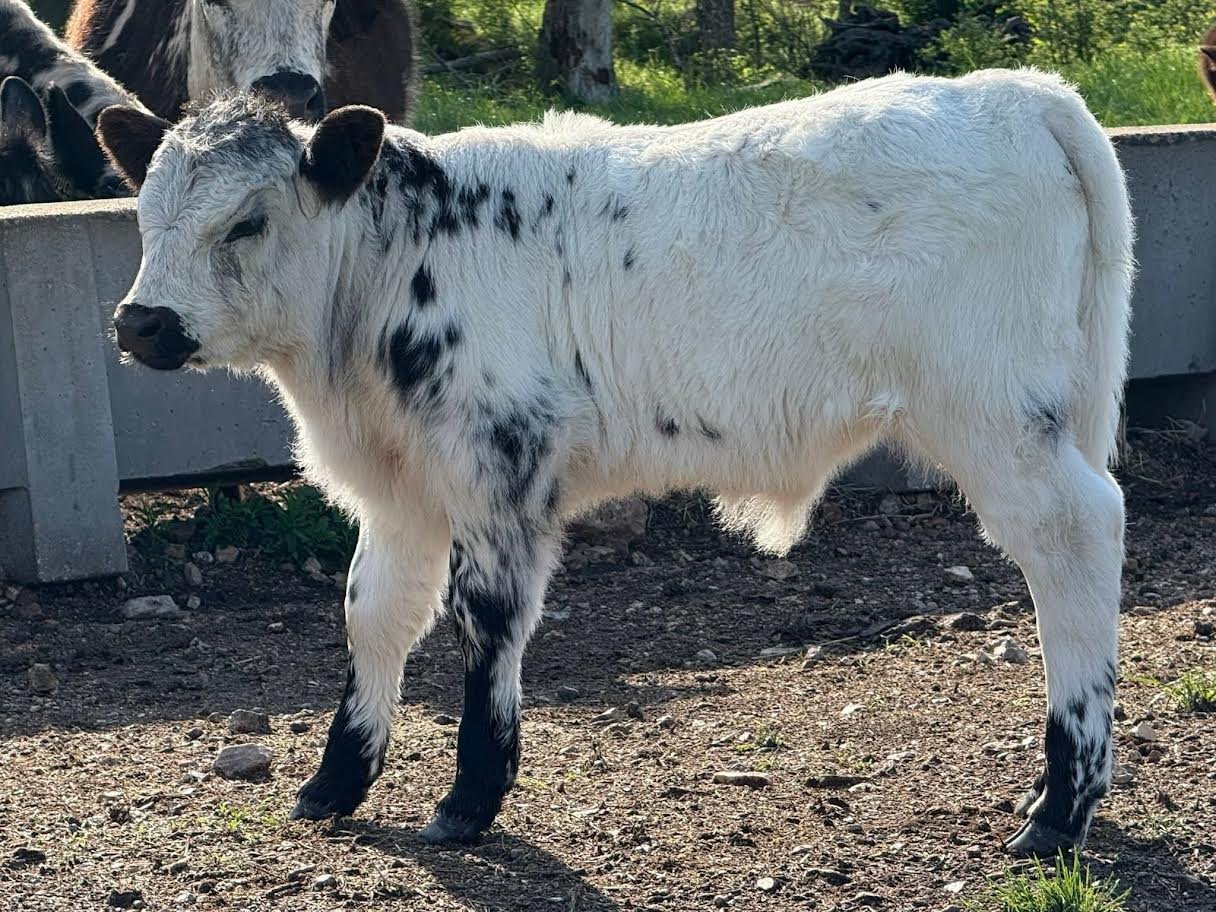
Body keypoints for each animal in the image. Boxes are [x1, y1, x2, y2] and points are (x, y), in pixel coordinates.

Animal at [98, 68, 1134, 856]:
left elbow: (487, 624)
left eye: (247, 221)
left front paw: (469, 802)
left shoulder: (500, 470)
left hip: (996, 416)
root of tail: (1014, 92)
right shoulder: (401, 490)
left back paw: (1059, 810)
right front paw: (334, 783)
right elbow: (374, 615)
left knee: (1075, 540)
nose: (140, 322)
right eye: (143, 213)